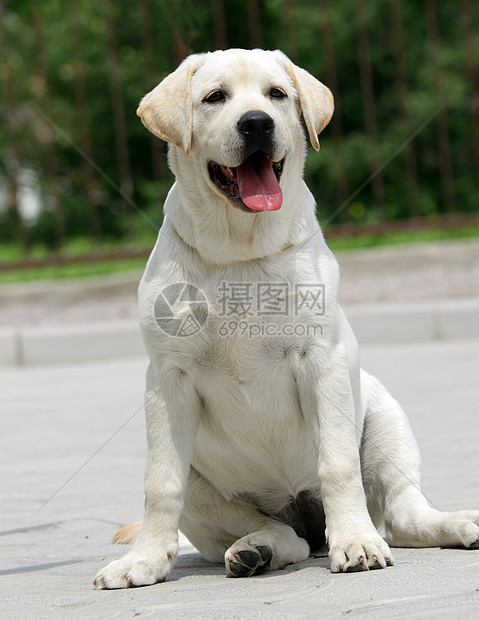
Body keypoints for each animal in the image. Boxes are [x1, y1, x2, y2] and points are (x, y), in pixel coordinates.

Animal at [94, 48, 479, 588]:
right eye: (215, 97)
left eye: (276, 94)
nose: (257, 123)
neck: (240, 251)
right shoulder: (167, 379)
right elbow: (160, 483)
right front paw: (144, 561)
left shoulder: (322, 360)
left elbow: (337, 465)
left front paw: (356, 543)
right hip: (206, 488)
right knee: (285, 536)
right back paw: (255, 550)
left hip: (386, 417)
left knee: (402, 515)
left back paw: (452, 523)